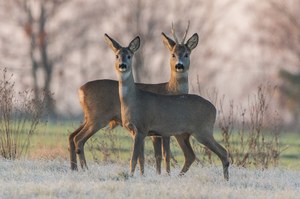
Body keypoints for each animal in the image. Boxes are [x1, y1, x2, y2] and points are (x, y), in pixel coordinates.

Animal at [68, 22, 199, 174]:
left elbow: (159, 154)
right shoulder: (160, 129)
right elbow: (163, 154)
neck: (170, 90)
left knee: (72, 136)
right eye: (173, 54)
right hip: (97, 117)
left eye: (186, 54)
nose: (179, 65)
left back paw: (74, 168)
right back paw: (84, 169)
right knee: (79, 139)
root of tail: (80, 90)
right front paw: (164, 174)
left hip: (88, 117)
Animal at [105, 33, 230, 180]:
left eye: (129, 56)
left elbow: (133, 158)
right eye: (117, 56)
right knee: (191, 155)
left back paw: (226, 179)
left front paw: (130, 176)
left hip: (203, 130)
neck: (133, 100)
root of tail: (214, 108)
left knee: (223, 151)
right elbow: (141, 158)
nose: (122, 65)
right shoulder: (137, 132)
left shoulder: (142, 128)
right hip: (184, 134)